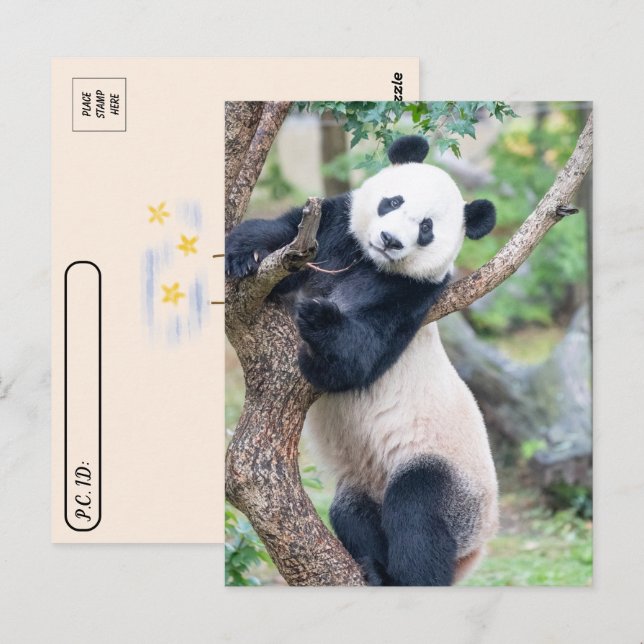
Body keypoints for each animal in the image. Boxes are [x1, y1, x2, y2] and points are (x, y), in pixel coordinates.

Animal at [225, 135, 499, 586]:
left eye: (426, 228)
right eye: (393, 201)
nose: (390, 239)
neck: (371, 262)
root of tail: (473, 553)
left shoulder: (412, 296)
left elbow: (356, 358)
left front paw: (318, 318)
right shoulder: (334, 232)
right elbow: (285, 233)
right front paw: (242, 254)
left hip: (453, 480)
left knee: (418, 512)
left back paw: (403, 577)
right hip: (363, 483)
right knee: (350, 510)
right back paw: (373, 566)